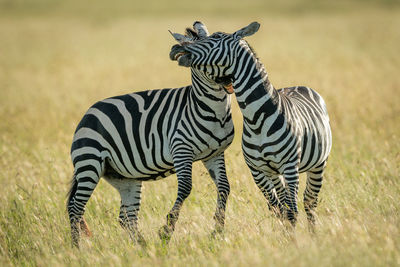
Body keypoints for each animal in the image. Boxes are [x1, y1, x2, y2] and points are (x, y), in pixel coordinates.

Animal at [66, 22, 234, 248]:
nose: (230, 80)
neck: (214, 111)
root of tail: (87, 114)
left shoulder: (214, 154)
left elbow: (224, 187)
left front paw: (218, 231)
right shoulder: (181, 150)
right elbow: (185, 188)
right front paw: (167, 230)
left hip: (125, 177)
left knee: (126, 217)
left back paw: (144, 247)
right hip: (89, 163)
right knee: (76, 208)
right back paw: (77, 249)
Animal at [170, 22, 332, 228]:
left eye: (215, 39)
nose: (175, 49)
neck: (257, 121)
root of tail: (299, 86)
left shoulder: (289, 166)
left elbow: (292, 212)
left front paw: (294, 237)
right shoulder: (258, 171)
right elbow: (279, 209)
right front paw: (286, 234)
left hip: (318, 164)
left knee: (309, 202)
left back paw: (313, 234)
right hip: (276, 173)